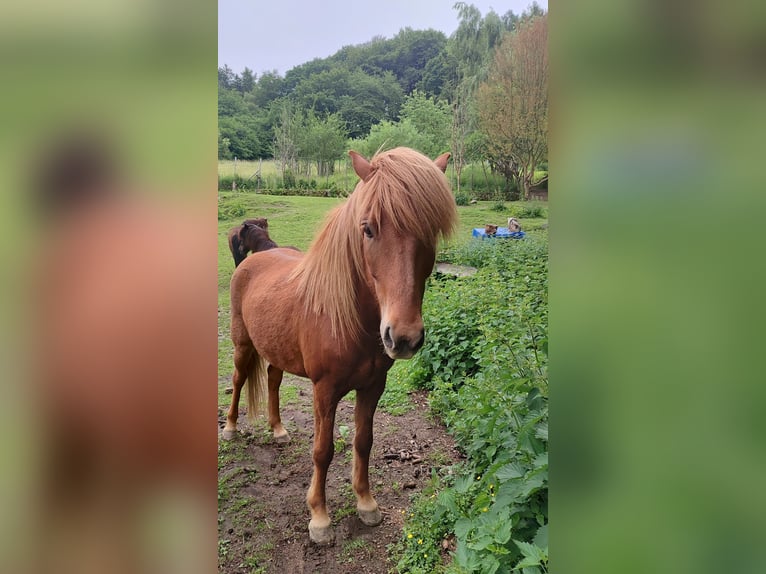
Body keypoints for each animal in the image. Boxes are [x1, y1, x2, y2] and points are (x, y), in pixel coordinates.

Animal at [223, 147, 457, 544]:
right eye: (368, 229)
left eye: (431, 232)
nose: (403, 337)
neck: (348, 319)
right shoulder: (325, 390)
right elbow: (323, 450)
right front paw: (319, 518)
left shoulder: (373, 386)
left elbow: (363, 441)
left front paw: (366, 503)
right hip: (242, 346)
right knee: (239, 381)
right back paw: (230, 428)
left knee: (272, 380)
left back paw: (278, 429)